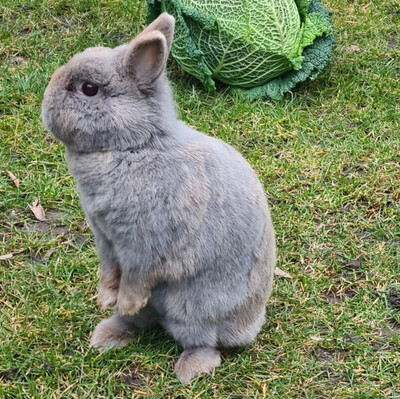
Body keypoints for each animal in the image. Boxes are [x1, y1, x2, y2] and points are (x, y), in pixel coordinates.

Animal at [42, 10, 276, 382]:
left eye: (88, 89)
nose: (46, 102)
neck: (133, 146)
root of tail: (247, 327)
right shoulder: (106, 240)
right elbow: (110, 272)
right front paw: (106, 300)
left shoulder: (144, 243)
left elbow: (137, 278)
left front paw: (123, 301)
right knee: (144, 321)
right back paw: (106, 334)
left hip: (192, 309)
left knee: (203, 342)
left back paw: (189, 370)